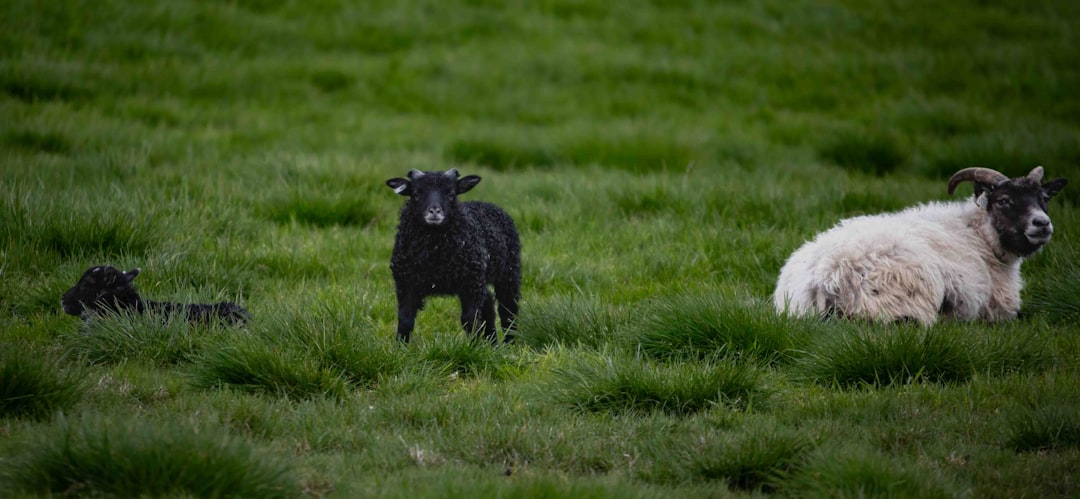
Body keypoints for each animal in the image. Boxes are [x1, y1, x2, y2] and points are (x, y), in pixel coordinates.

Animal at [388, 167, 522, 343]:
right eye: (416, 194)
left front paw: (474, 346)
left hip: (508, 273)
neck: (435, 256)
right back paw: (493, 343)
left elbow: (469, 319)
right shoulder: (406, 284)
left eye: (451, 193)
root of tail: (486, 203)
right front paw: (400, 346)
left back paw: (509, 343)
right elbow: (405, 320)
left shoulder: (470, 284)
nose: (434, 211)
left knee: (508, 309)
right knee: (488, 303)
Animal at [773, 165, 1067, 326]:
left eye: (1043, 198)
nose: (1042, 224)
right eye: (1004, 201)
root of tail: (823, 282)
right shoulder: (997, 311)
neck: (980, 236)